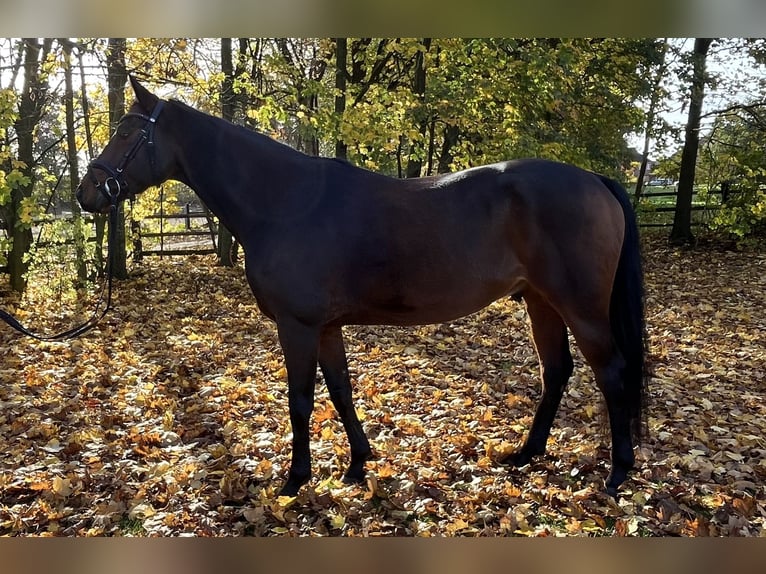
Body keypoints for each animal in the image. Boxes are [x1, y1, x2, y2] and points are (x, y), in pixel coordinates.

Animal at [76, 76, 648, 500]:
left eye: (127, 133)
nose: (87, 193)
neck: (286, 202)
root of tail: (595, 180)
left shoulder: (298, 327)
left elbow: (301, 400)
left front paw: (296, 480)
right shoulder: (327, 327)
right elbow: (341, 391)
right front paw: (357, 464)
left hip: (581, 308)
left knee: (612, 373)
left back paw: (618, 474)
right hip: (540, 301)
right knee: (557, 371)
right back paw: (526, 455)